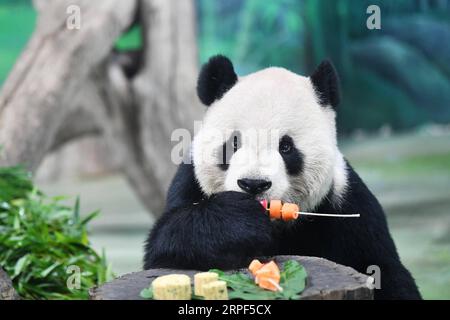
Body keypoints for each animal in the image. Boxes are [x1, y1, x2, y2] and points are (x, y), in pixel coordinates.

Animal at [145, 55, 422, 300]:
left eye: (286, 147)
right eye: (233, 144)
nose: (253, 184)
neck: (277, 226)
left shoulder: (348, 204)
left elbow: (385, 271)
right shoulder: (189, 183)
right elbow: (165, 242)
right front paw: (239, 220)